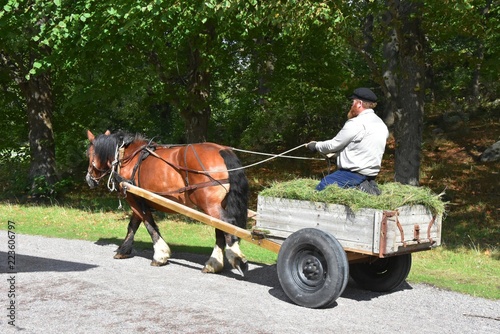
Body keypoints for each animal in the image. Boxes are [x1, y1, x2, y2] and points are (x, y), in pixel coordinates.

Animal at [87, 130, 250, 274]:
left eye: (89, 153)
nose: (89, 179)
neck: (127, 157)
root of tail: (222, 150)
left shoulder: (133, 197)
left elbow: (148, 224)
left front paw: (160, 255)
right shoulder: (139, 199)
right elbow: (133, 225)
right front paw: (123, 250)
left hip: (209, 204)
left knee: (228, 224)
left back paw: (235, 258)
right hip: (217, 204)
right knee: (221, 228)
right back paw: (213, 263)